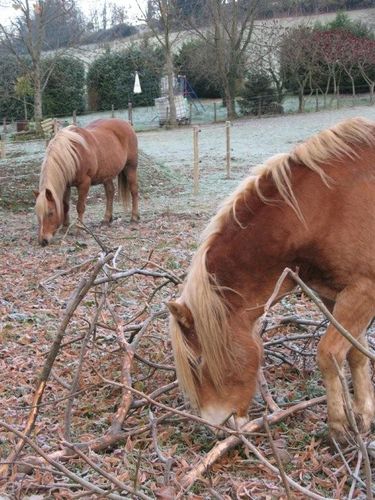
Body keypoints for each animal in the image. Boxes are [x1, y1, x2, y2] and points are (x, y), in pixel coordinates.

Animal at [33, 117, 140, 246]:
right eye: (37, 214)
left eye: (50, 213)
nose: (43, 241)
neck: (72, 154)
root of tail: (126, 124)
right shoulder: (66, 185)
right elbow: (65, 206)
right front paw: (65, 227)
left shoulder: (84, 183)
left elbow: (80, 206)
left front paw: (79, 229)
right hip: (107, 175)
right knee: (110, 193)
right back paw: (106, 219)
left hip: (131, 167)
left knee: (134, 190)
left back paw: (134, 217)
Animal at [169, 115, 375, 440]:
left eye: (198, 360)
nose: (216, 426)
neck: (326, 206)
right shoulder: (337, 296)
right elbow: (356, 354)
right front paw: (364, 416)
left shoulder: (363, 291)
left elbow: (328, 353)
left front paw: (338, 427)